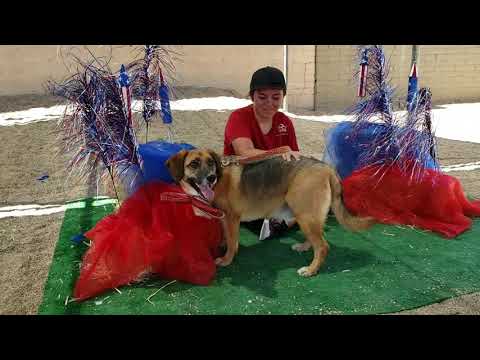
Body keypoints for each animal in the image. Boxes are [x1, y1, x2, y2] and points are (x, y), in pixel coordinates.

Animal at [166, 148, 376, 278]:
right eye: (193, 164)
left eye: (210, 163)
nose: (210, 177)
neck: (218, 181)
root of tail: (327, 168)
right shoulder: (223, 219)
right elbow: (226, 237)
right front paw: (223, 247)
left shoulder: (232, 218)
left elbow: (232, 242)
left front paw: (226, 259)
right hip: (305, 215)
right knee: (316, 239)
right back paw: (304, 247)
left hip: (305, 215)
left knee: (323, 246)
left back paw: (311, 270)